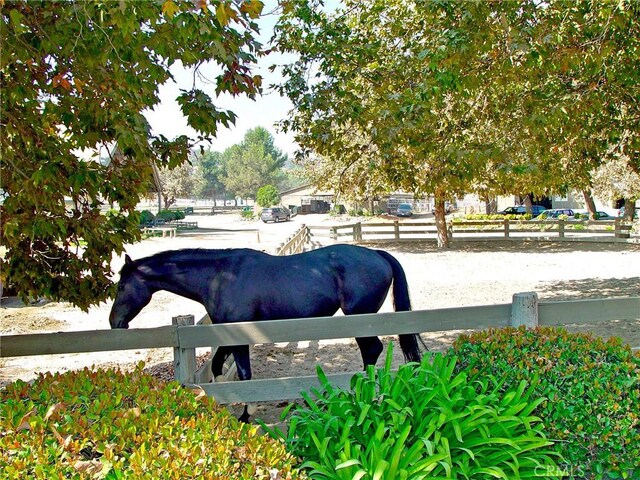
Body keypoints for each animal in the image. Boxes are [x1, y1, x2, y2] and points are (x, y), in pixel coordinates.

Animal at [110, 244, 424, 420]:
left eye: (121, 285)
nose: (115, 322)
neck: (220, 276)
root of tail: (377, 255)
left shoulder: (239, 337)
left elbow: (245, 375)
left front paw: (245, 416)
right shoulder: (226, 335)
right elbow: (217, 366)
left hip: (360, 319)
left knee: (372, 350)